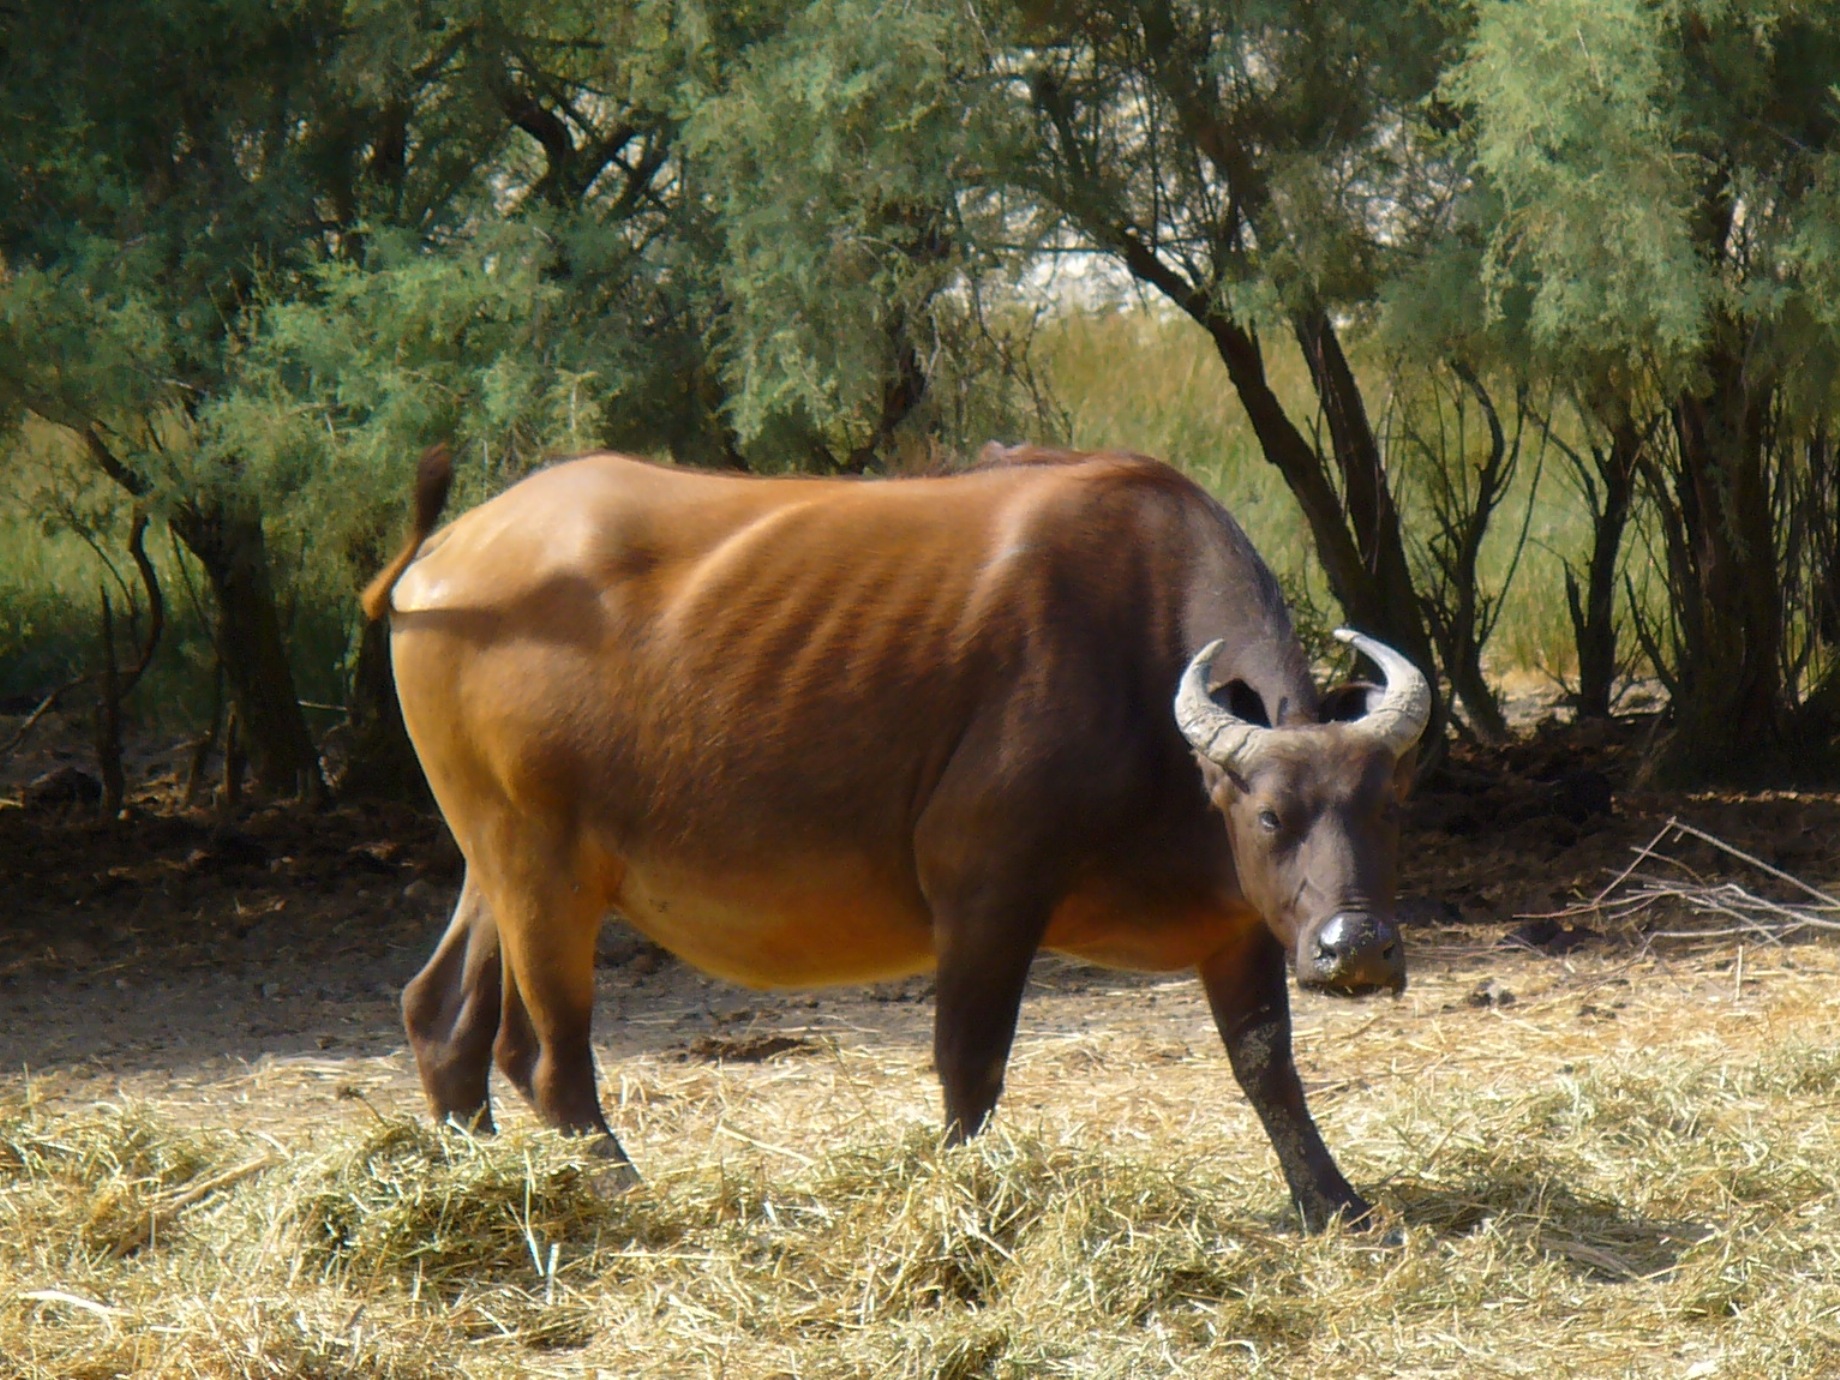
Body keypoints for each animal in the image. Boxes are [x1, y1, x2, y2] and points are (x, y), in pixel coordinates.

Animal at [358, 443, 1420, 1229]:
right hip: (542, 871)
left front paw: (1336, 1202)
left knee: (443, 1016)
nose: (1359, 948)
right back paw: (624, 1192)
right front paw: (962, 1195)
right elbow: (970, 1063)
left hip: (494, 857)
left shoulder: (1241, 923)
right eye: (1272, 815)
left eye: (1387, 806)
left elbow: (1266, 1065)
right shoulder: (986, 890)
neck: (1134, 656)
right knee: (546, 1055)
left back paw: (475, 1183)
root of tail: (445, 557)